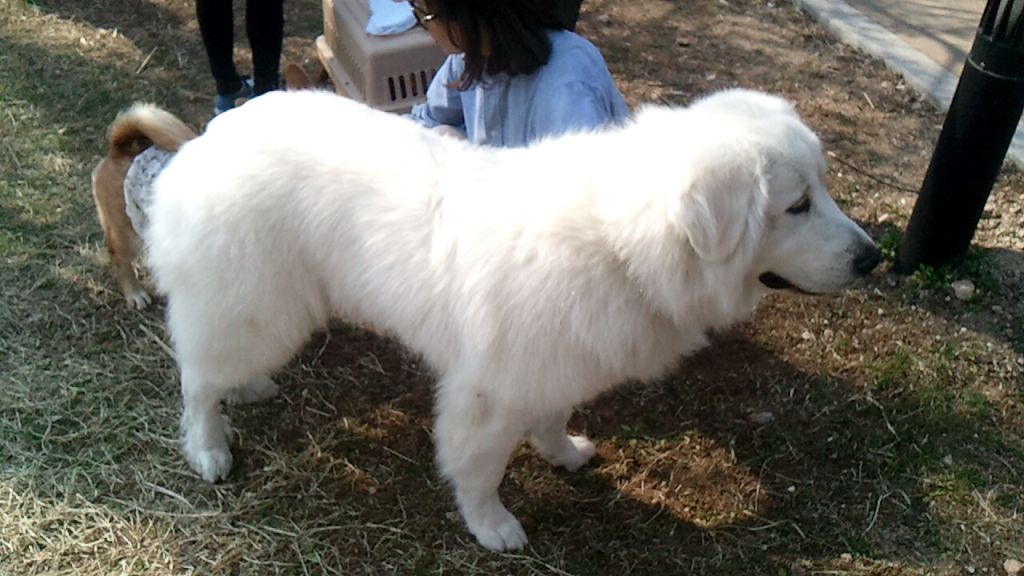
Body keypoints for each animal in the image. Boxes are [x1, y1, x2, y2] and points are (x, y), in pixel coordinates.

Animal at [144, 88, 880, 551]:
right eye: (796, 205)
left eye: (823, 188)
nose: (874, 258)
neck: (622, 242)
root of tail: (214, 132)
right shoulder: (488, 394)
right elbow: (478, 468)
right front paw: (491, 526)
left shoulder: (553, 367)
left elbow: (551, 420)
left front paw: (564, 455)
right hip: (254, 306)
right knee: (196, 379)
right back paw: (209, 447)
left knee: (216, 367)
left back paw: (246, 392)